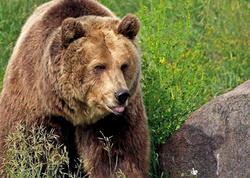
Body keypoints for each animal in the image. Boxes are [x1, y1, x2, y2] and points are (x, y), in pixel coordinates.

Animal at [0, 0, 149, 177]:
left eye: (124, 65)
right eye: (99, 66)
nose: (121, 95)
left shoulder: (112, 120)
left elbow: (117, 154)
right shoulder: (35, 101)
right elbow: (25, 145)